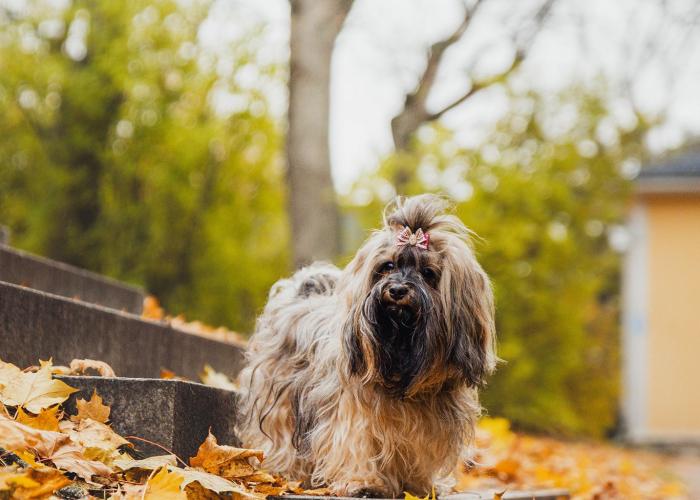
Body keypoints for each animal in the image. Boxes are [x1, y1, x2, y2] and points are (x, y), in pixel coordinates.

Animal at [238, 194, 494, 496]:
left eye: (428, 273)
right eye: (388, 266)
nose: (397, 290)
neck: (401, 360)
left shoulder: (427, 428)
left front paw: (420, 486)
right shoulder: (352, 412)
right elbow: (356, 443)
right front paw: (362, 482)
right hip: (279, 399)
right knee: (280, 435)